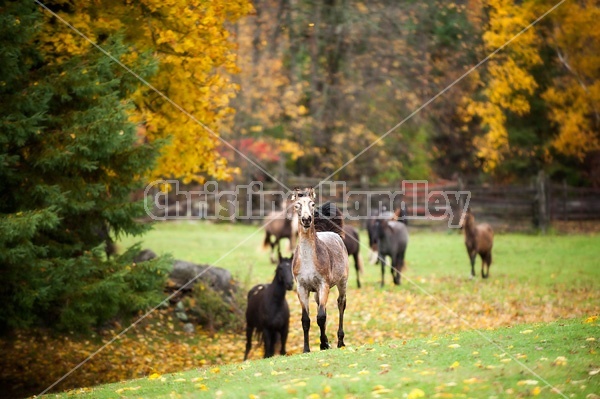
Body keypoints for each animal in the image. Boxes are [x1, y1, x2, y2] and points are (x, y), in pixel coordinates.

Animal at [290, 188, 346, 354]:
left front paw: (323, 345)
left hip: (342, 282)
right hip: (316, 292)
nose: (306, 219)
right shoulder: (302, 288)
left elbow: (320, 317)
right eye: (297, 205)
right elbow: (306, 320)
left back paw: (340, 341)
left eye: (312, 204)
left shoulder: (323, 285)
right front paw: (307, 349)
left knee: (341, 304)